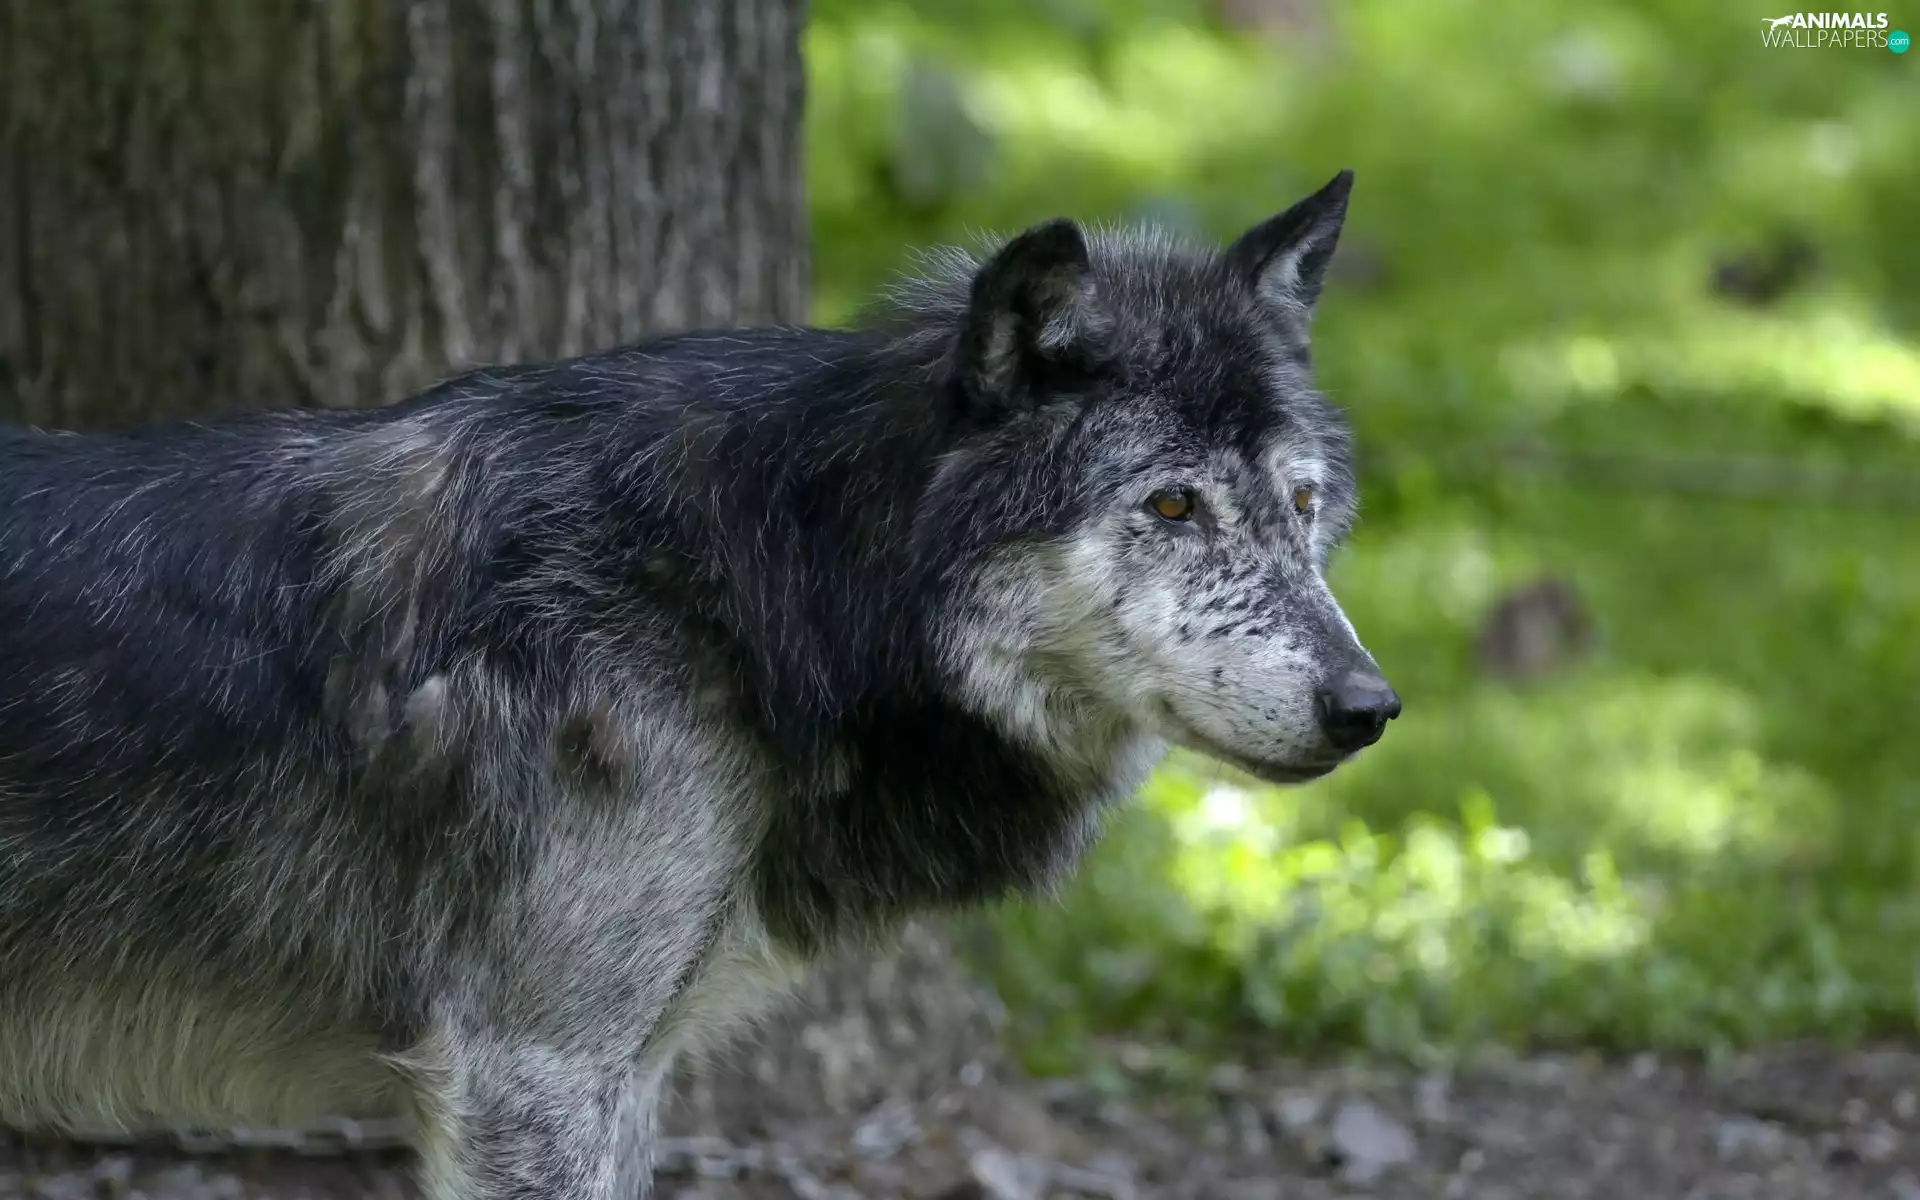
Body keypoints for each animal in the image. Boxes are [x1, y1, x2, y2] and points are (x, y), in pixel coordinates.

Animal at [0, 169, 1396, 1198]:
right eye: (1171, 505)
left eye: (1302, 504)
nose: (1369, 709)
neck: (753, 595)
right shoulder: (535, 1074)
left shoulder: (615, 1072)